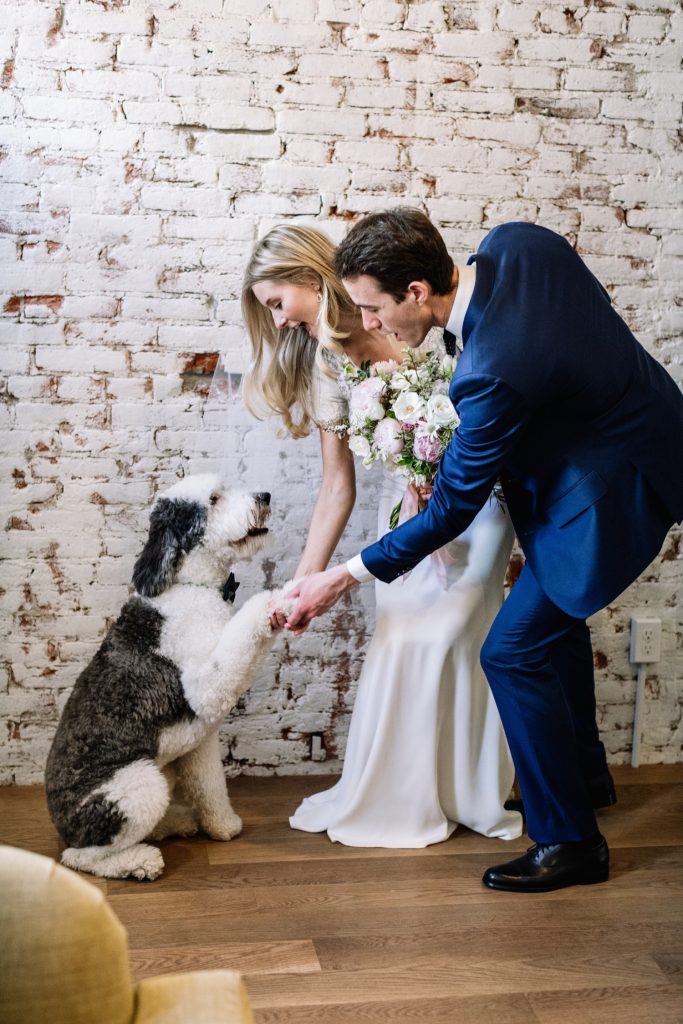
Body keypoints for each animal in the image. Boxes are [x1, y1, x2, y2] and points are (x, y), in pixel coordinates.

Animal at [45, 471, 290, 880]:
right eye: (214, 499)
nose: (265, 495)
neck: (192, 587)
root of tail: (61, 825)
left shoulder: (200, 743)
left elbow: (210, 786)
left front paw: (223, 826)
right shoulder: (205, 687)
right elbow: (241, 635)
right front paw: (274, 599)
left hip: (163, 770)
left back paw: (174, 823)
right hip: (138, 786)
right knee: (81, 858)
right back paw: (140, 861)